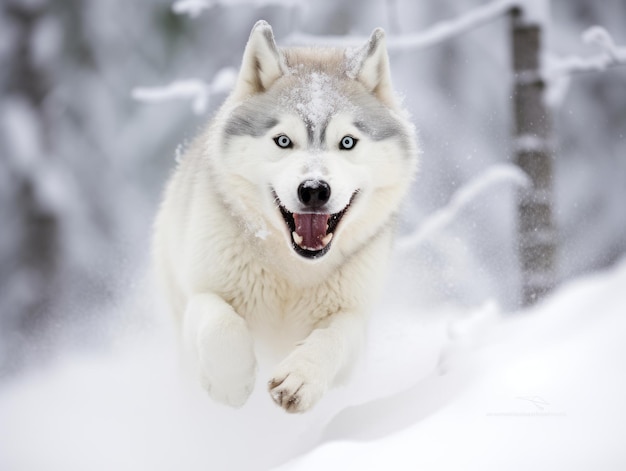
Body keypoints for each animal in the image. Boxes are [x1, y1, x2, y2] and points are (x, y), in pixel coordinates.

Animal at [152, 21, 416, 412]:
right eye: (283, 141)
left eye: (347, 142)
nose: (314, 189)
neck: (294, 274)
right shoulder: (198, 294)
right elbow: (220, 322)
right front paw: (231, 382)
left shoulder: (355, 317)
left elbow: (333, 336)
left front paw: (301, 378)